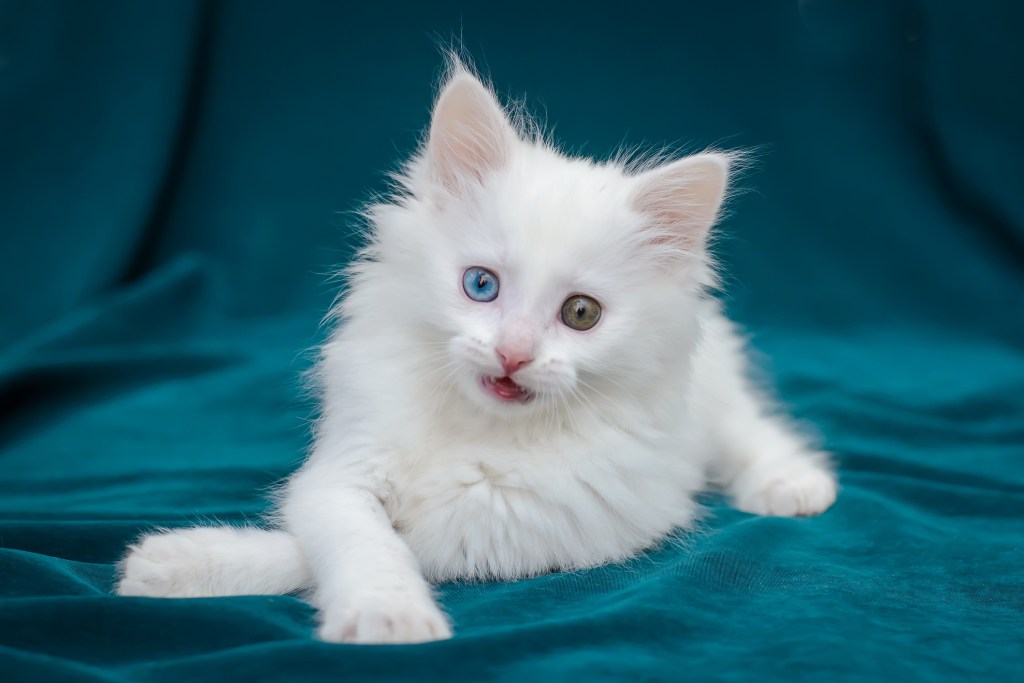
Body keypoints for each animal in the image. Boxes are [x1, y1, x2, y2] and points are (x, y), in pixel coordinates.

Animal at [117, 61, 839, 643]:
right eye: (480, 285)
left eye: (581, 314)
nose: (514, 353)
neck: (479, 428)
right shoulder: (343, 469)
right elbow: (355, 538)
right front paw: (180, 564)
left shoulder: (539, 526)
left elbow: (395, 544)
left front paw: (385, 619)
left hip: (713, 396)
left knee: (749, 429)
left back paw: (794, 486)